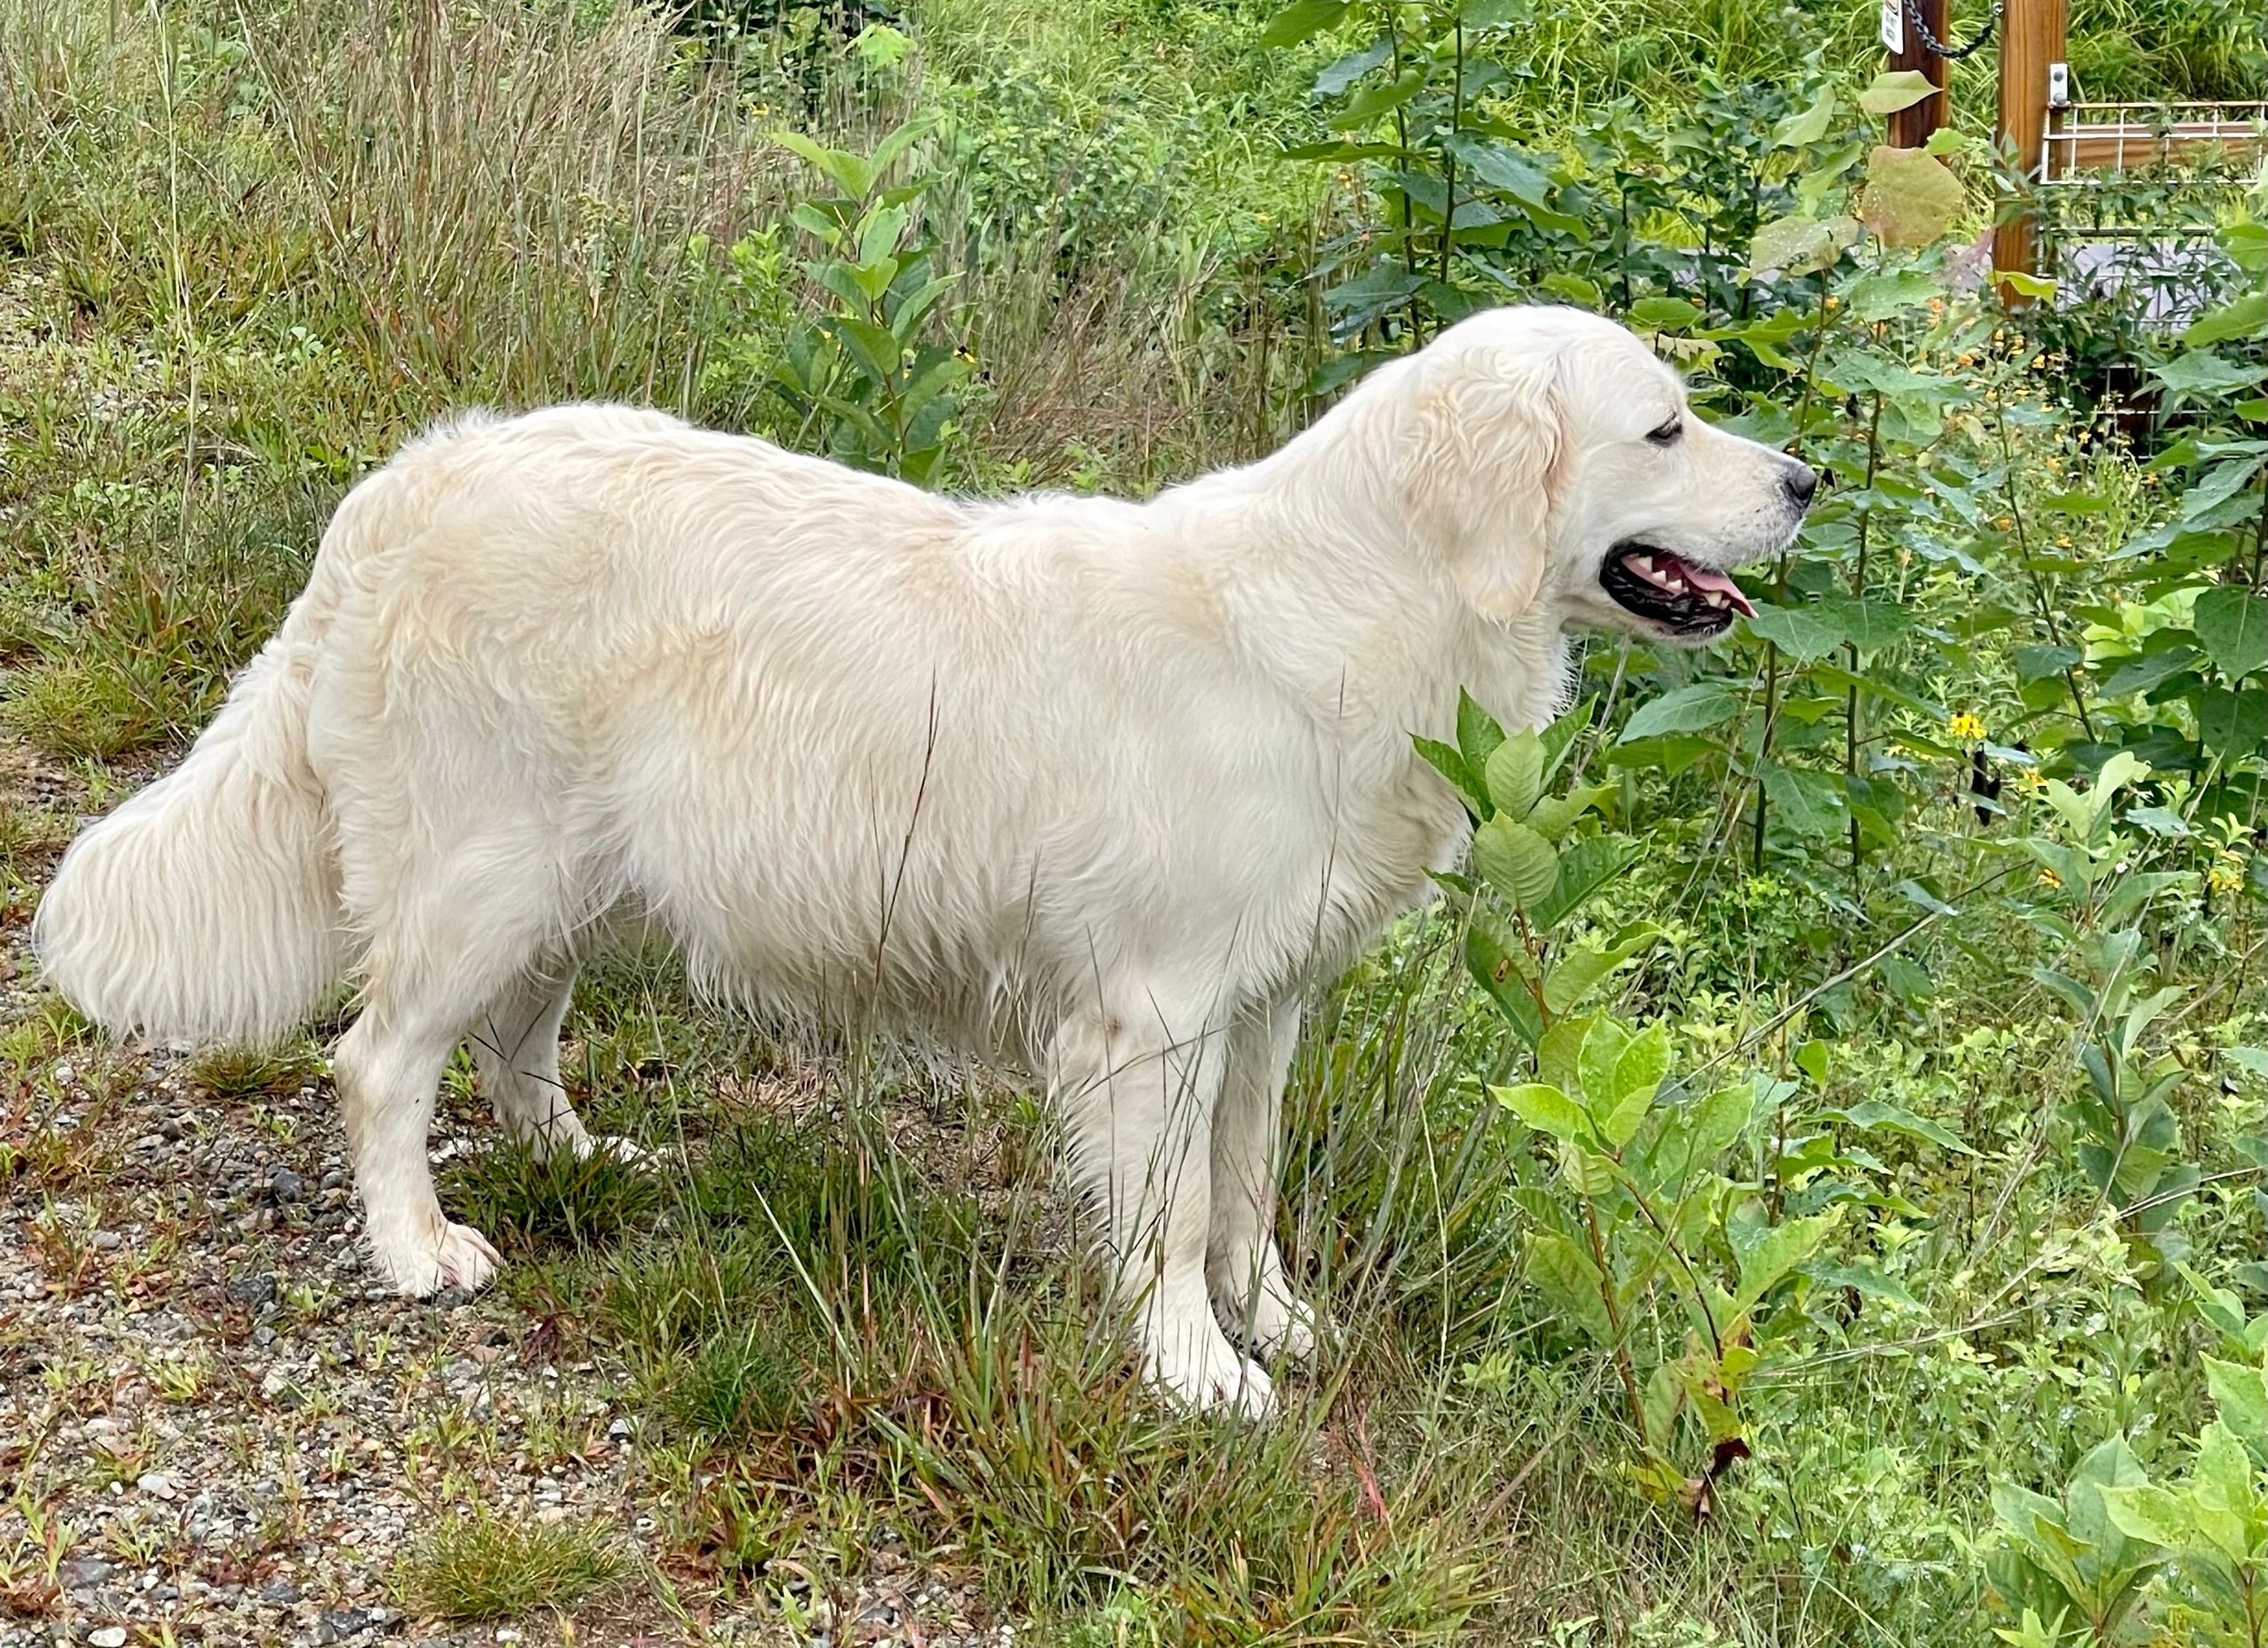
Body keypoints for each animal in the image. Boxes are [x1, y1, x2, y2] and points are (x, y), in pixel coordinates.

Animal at [31, 303, 1805, 1414]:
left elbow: (1247, 1189)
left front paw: (1282, 1327)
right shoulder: (1153, 1015)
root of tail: (401, 483)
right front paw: (1200, 1375)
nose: (1809, 478)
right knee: (383, 1058)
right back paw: (419, 1248)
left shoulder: (1269, 1003)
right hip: (485, 866)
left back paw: (586, 1160)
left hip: (581, 873)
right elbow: (1171, 1218)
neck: (1374, 607)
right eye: (1664, 425)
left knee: (519, 1036)